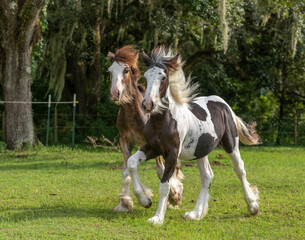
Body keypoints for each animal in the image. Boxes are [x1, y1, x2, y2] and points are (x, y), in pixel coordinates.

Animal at [107, 46, 183, 213]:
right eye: (110, 71)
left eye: (126, 70)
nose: (115, 93)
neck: (132, 114)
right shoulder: (125, 141)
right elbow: (126, 171)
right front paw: (127, 202)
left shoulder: (155, 144)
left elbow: (161, 170)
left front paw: (174, 195)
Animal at [126, 47, 258, 225]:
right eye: (146, 76)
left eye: (163, 77)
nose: (148, 104)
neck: (163, 121)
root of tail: (223, 104)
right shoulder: (152, 147)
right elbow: (131, 162)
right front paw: (145, 200)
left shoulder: (172, 154)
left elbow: (164, 185)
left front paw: (157, 218)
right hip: (201, 151)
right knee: (207, 176)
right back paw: (195, 214)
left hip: (231, 144)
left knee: (240, 169)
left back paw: (253, 206)